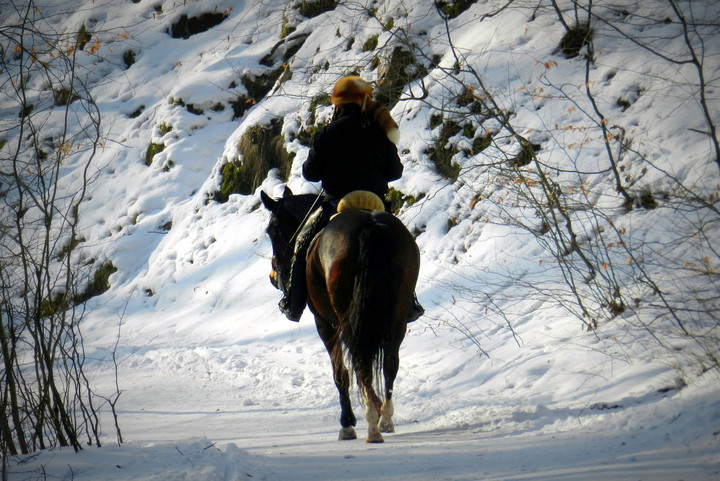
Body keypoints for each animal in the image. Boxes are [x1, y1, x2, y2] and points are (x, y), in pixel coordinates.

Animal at [260, 188, 422, 442]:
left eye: (272, 231)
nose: (273, 276)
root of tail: (371, 225)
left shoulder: (325, 323)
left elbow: (340, 373)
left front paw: (347, 424)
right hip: (396, 316)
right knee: (389, 363)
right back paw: (384, 418)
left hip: (346, 319)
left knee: (359, 361)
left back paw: (372, 421)